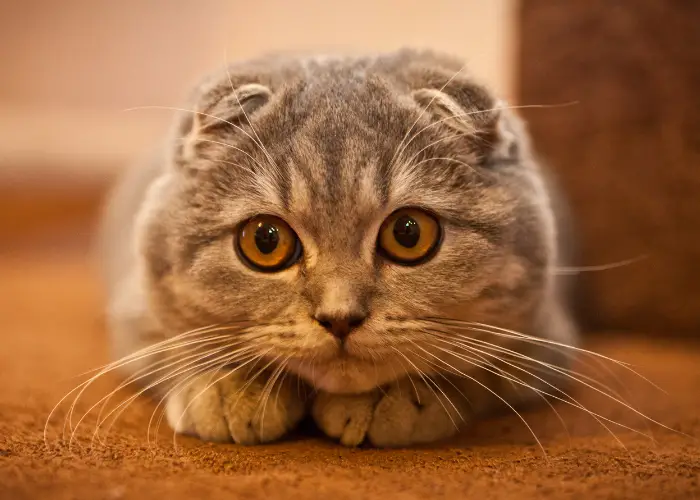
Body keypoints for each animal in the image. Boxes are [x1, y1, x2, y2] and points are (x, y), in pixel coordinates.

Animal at [100, 48, 580, 448]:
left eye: (409, 234)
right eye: (265, 240)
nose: (340, 318)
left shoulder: (543, 340)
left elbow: (479, 373)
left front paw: (395, 401)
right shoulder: (136, 312)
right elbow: (173, 344)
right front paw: (229, 391)